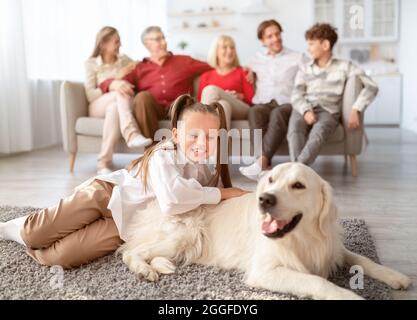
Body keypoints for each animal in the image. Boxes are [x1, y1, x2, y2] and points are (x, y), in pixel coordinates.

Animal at [118, 162, 410, 300]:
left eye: (298, 185)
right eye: (270, 180)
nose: (264, 199)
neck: (301, 238)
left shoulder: (331, 248)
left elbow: (364, 260)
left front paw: (395, 276)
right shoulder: (265, 270)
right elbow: (317, 281)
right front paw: (349, 295)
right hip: (185, 235)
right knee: (129, 252)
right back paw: (145, 269)